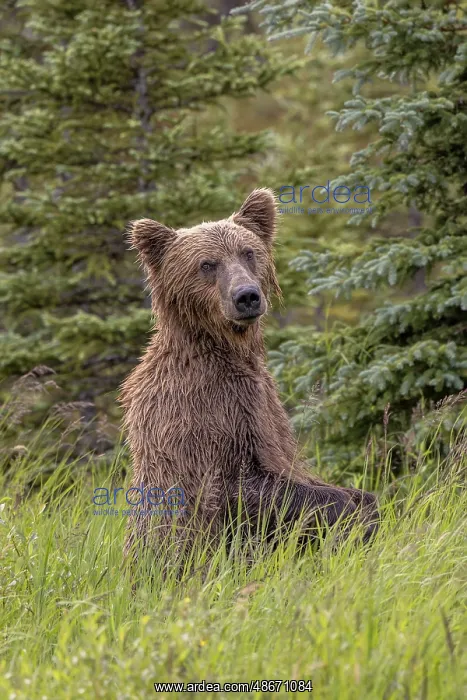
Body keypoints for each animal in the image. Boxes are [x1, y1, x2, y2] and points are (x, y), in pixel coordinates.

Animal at [120, 188, 378, 563]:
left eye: (248, 252)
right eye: (207, 264)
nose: (247, 296)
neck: (225, 349)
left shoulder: (263, 404)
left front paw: (365, 504)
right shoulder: (203, 411)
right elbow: (235, 487)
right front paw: (350, 508)